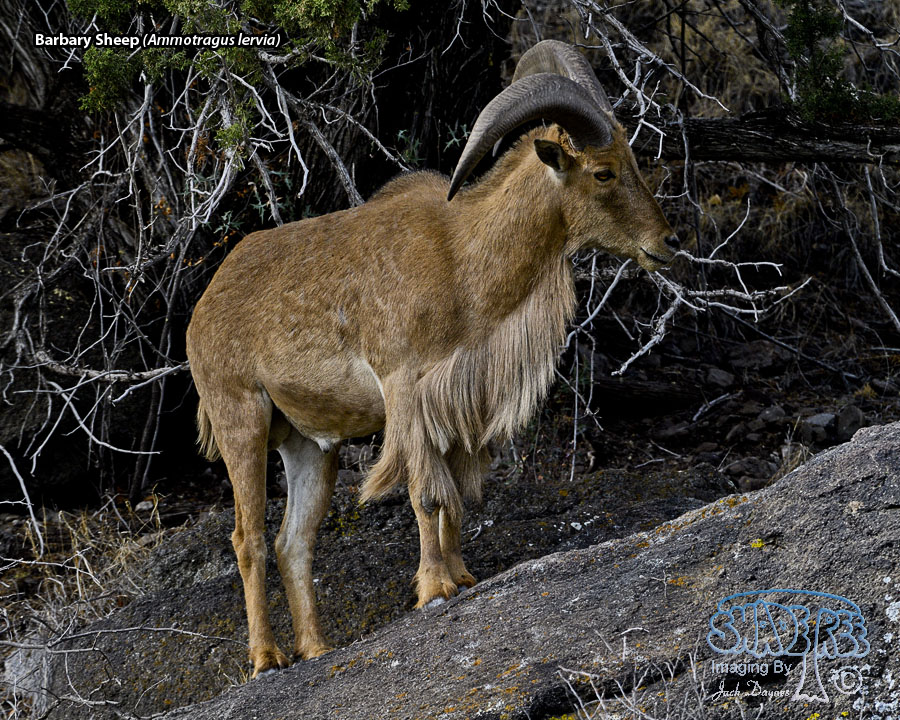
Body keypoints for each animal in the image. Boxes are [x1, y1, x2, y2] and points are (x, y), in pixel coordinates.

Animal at [185, 39, 678, 677]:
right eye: (603, 171)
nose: (667, 243)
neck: (462, 255)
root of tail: (205, 305)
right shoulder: (406, 388)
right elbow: (426, 493)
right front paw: (435, 588)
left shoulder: (460, 395)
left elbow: (456, 497)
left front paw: (463, 577)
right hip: (240, 418)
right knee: (247, 540)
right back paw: (268, 659)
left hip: (307, 444)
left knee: (293, 541)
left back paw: (318, 649)